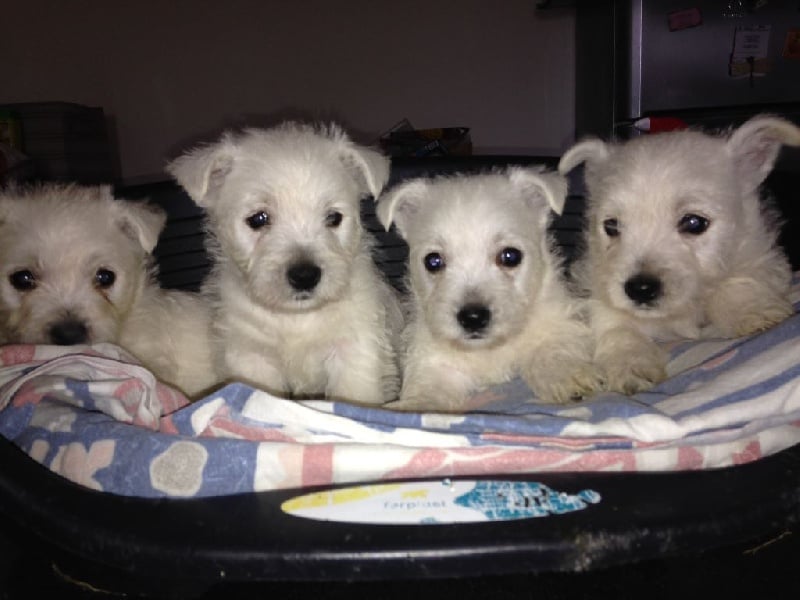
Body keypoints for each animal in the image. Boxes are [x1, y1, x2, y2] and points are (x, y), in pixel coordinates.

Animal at [170, 120, 406, 406]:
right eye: (258, 219)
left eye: (333, 217)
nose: (305, 276)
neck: (296, 318)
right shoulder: (251, 356)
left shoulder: (355, 350)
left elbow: (352, 394)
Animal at [378, 168, 604, 412]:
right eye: (433, 261)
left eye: (510, 256)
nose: (473, 318)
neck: (488, 349)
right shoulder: (435, 362)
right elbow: (430, 387)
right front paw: (415, 405)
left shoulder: (555, 323)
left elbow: (551, 349)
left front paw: (564, 377)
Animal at [556, 115, 800, 394]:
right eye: (611, 226)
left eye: (694, 223)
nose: (640, 289)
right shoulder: (597, 290)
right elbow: (617, 326)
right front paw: (629, 363)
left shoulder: (754, 252)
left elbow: (736, 282)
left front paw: (753, 313)